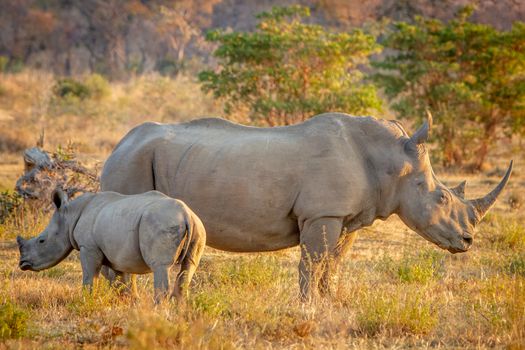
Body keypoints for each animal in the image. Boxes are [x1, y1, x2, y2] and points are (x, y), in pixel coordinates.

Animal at [16, 189, 205, 300]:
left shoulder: (88, 247)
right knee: (188, 267)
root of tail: (186, 214)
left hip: (163, 223)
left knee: (160, 266)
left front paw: (86, 301)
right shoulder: (119, 254)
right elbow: (122, 281)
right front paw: (129, 303)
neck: (69, 216)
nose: (22, 263)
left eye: (41, 241)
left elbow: (89, 276)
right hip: (198, 227)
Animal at [100, 113, 510, 298]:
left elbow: (333, 264)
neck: (390, 160)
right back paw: (126, 303)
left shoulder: (345, 217)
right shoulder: (321, 213)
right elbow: (312, 263)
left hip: (136, 159)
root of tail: (118, 144)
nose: (468, 241)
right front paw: (307, 306)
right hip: (132, 162)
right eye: (440, 197)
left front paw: (330, 302)